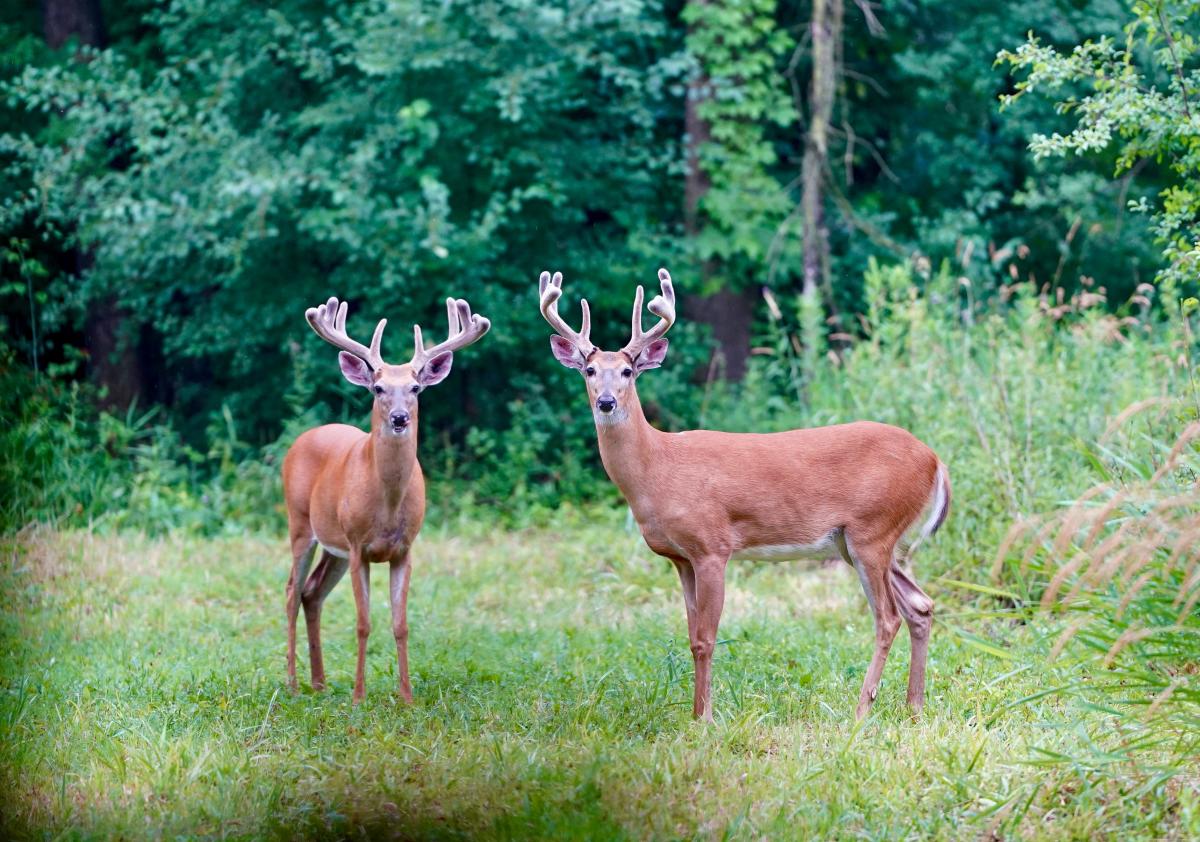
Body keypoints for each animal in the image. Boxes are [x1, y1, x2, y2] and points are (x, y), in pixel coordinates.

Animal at [280, 293, 487, 700]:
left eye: (416, 388)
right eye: (378, 389)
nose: (399, 418)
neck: (387, 506)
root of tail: (301, 440)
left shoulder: (404, 549)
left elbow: (400, 624)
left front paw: (406, 697)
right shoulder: (359, 546)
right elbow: (363, 623)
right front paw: (359, 697)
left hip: (334, 546)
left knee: (312, 592)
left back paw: (320, 683)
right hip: (300, 526)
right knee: (292, 592)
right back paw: (294, 684)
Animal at [540, 268, 950, 719]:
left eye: (628, 371)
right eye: (589, 370)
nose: (607, 402)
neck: (658, 469)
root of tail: (934, 460)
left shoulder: (712, 546)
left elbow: (706, 638)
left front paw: (704, 718)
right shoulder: (680, 558)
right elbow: (691, 635)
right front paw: (697, 712)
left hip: (873, 530)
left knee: (888, 618)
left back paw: (861, 710)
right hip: (861, 541)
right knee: (920, 606)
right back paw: (914, 706)